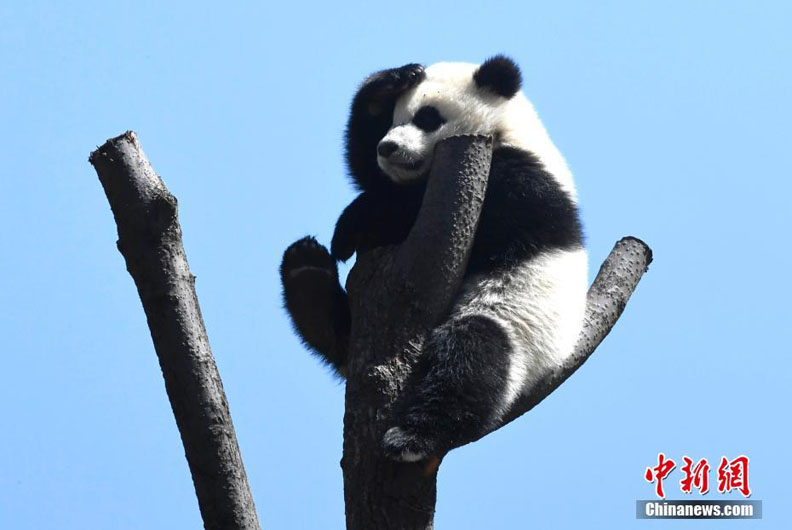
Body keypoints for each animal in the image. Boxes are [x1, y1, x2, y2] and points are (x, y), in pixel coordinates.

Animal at [280, 55, 588, 460]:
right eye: (393, 121)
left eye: (427, 118)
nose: (388, 148)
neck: (506, 130)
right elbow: (366, 168)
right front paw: (391, 81)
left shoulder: (520, 183)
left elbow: (413, 207)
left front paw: (353, 223)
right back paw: (306, 274)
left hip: (521, 331)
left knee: (472, 355)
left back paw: (414, 437)